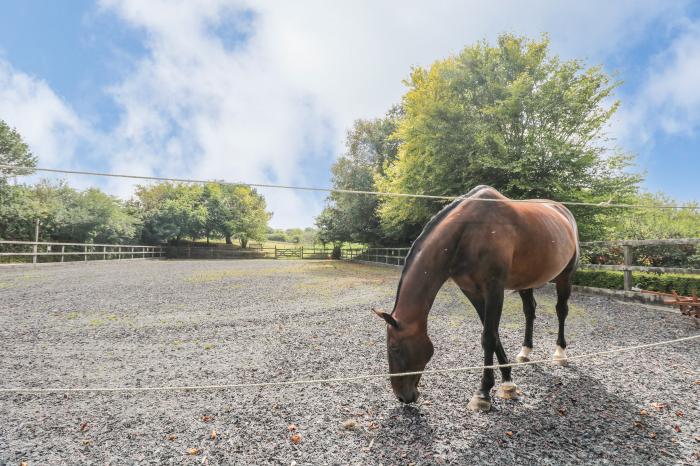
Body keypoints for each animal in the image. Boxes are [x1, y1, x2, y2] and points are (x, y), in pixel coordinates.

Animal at [372, 184, 580, 410]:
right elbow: (493, 334)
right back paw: (525, 352)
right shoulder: (471, 291)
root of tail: (563, 211)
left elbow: (488, 337)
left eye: (394, 347)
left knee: (561, 310)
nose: (402, 397)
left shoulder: (494, 289)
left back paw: (560, 353)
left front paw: (483, 393)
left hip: (565, 276)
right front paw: (507, 381)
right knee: (529, 311)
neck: (469, 233)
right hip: (527, 282)